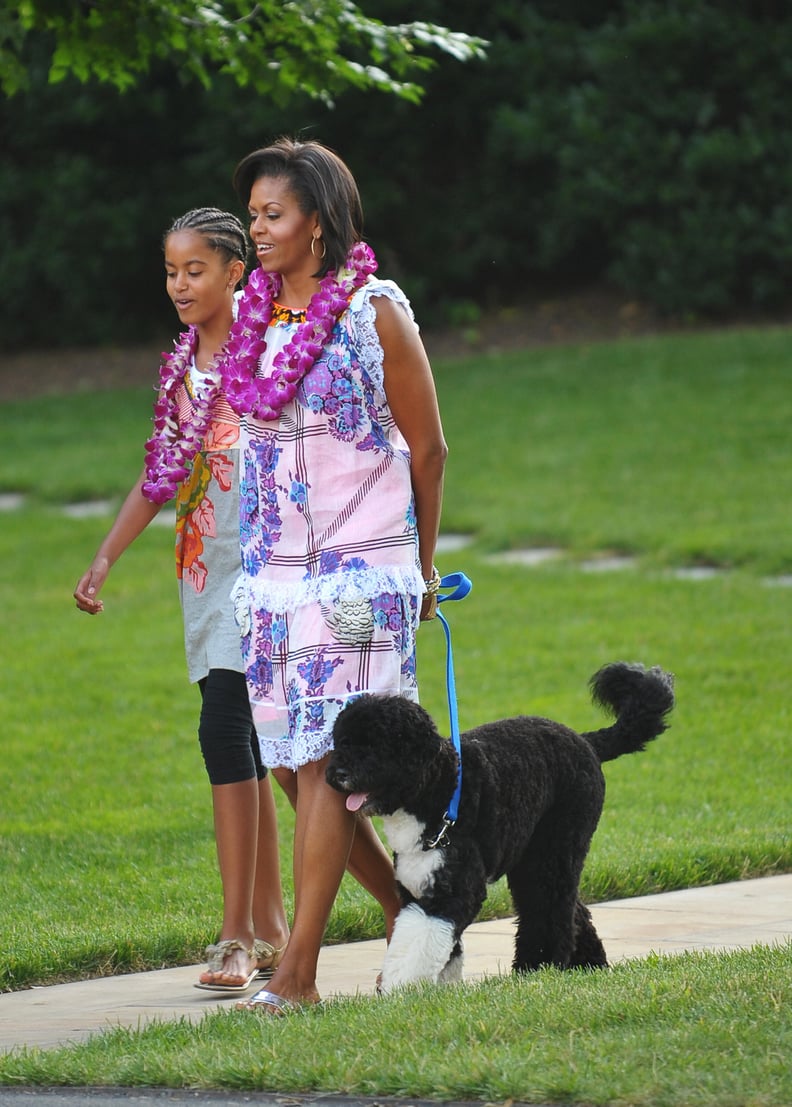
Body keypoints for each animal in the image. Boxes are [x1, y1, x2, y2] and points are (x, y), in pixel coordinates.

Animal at [325, 659, 673, 991]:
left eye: (374, 744)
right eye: (341, 740)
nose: (337, 773)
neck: (440, 788)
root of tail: (586, 741)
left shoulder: (454, 889)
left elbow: (418, 943)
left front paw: (399, 987)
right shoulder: (418, 886)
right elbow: (436, 943)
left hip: (556, 847)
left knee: (549, 909)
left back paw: (540, 966)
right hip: (536, 856)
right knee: (572, 909)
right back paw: (590, 964)